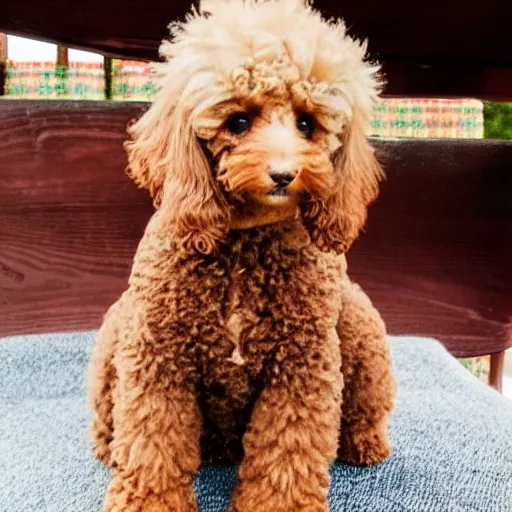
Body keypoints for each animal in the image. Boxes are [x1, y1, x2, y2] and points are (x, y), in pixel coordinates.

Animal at [88, 2, 396, 510]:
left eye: (307, 123)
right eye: (238, 121)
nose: (284, 174)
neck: (244, 247)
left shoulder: (300, 367)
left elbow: (286, 455)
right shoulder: (158, 357)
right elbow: (153, 444)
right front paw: (148, 499)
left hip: (360, 323)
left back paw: (363, 443)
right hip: (117, 327)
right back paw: (108, 445)